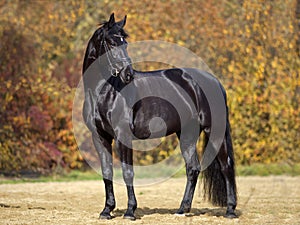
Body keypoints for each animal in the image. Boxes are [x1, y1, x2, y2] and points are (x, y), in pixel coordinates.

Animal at [82, 13, 237, 220]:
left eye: (125, 43)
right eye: (112, 42)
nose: (128, 74)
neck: (104, 92)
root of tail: (214, 81)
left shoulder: (123, 136)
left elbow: (128, 172)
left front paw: (130, 211)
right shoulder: (100, 137)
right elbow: (107, 172)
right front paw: (107, 210)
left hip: (214, 130)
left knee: (226, 166)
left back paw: (230, 210)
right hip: (187, 134)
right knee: (193, 168)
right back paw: (182, 209)